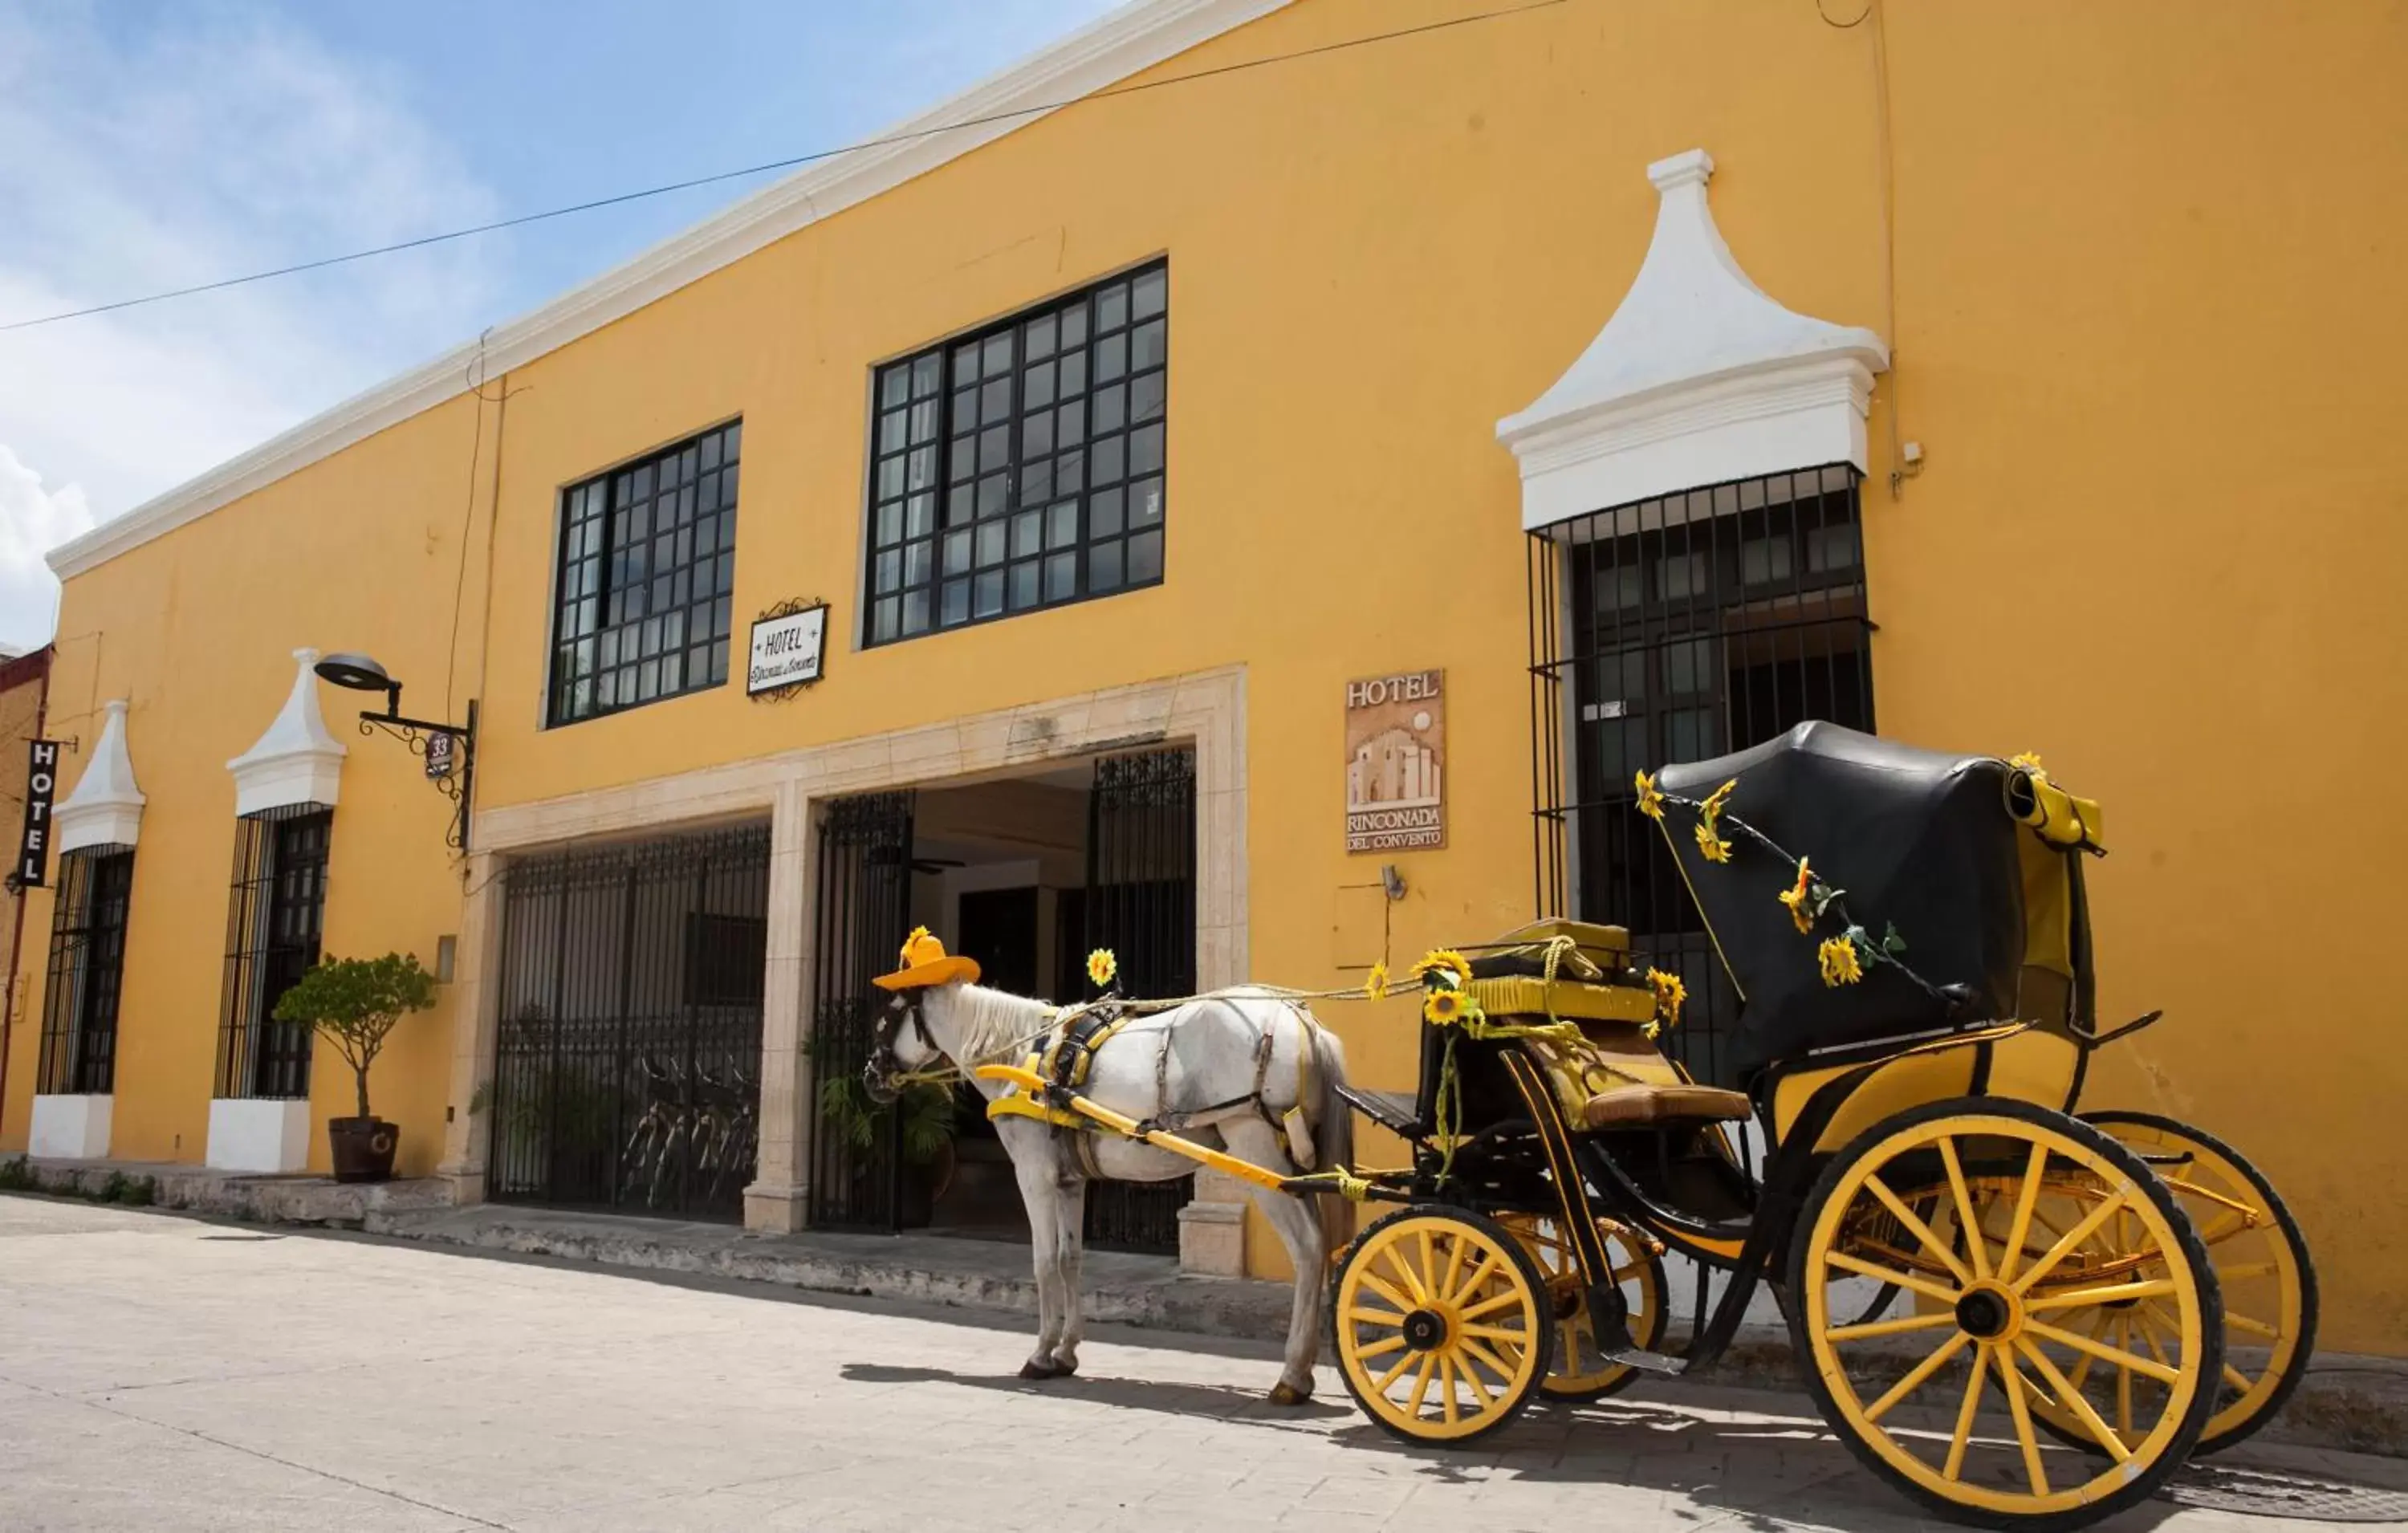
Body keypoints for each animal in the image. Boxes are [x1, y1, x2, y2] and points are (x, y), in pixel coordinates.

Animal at [867, 982, 1358, 1396]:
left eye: (889, 1016)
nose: (871, 1076)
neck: (1026, 1053)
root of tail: (1301, 1020)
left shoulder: (1035, 1174)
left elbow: (1043, 1263)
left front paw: (1040, 1354)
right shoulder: (1070, 1181)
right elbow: (1070, 1259)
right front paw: (1065, 1353)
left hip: (1257, 1149)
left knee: (1308, 1248)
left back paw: (1292, 1375)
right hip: (1294, 1166)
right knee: (1320, 1243)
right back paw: (1304, 1369)